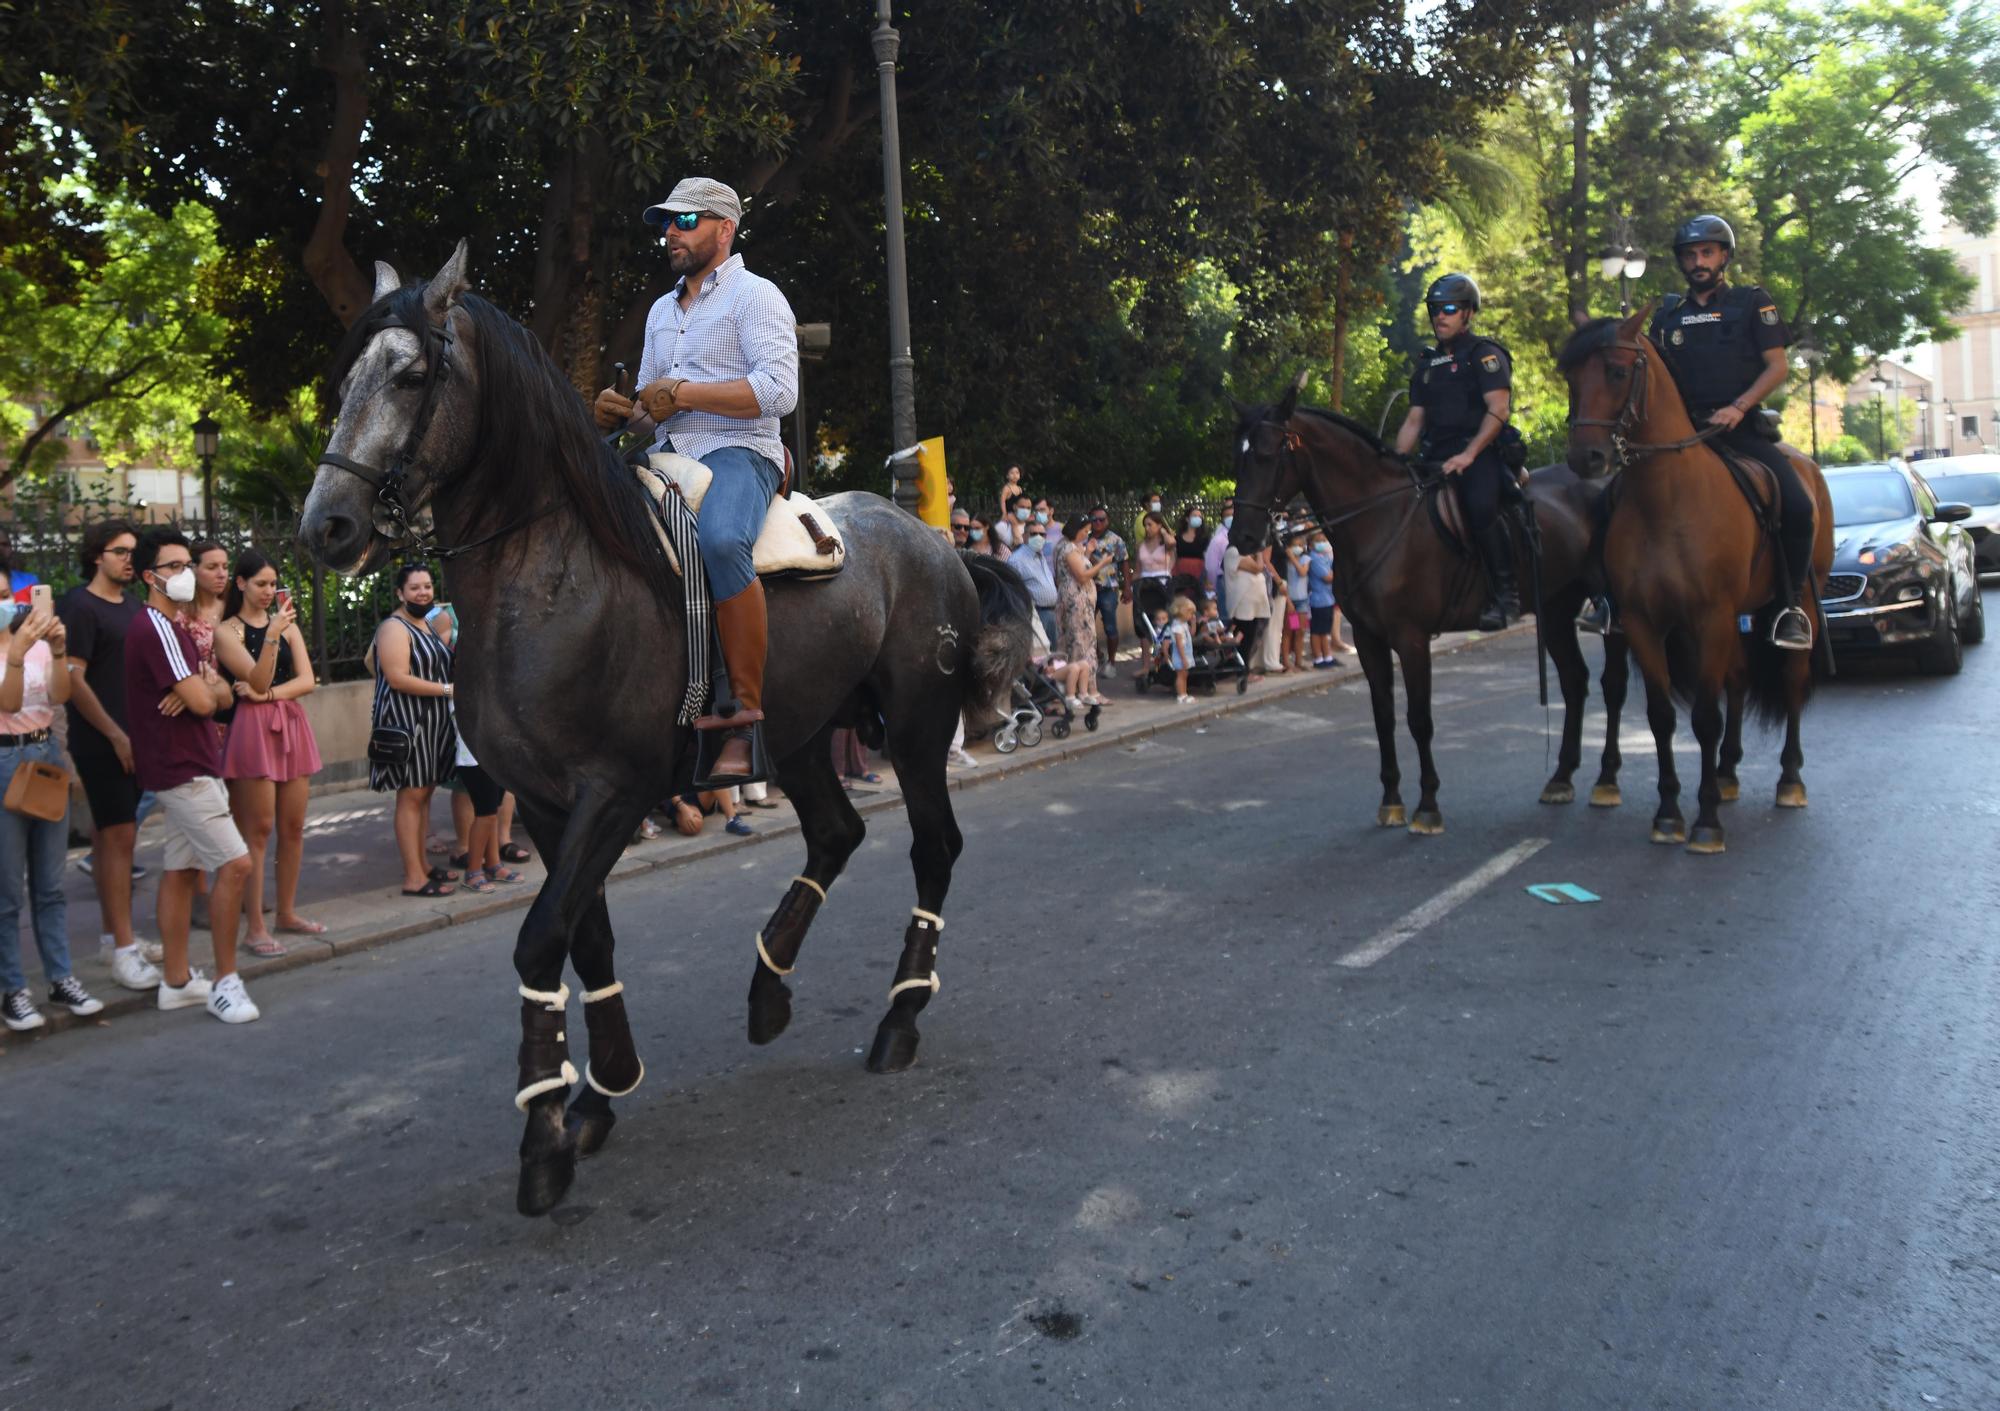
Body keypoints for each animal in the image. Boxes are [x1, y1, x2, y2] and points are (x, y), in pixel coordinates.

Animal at [304, 241, 1040, 1207]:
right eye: (344, 377)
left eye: (412, 374)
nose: (327, 524)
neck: (550, 576)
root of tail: (937, 541)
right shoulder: (544, 802)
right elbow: (586, 935)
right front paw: (600, 1090)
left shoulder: (614, 792)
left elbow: (541, 941)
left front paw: (545, 1131)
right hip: (802, 734)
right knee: (835, 834)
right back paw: (769, 991)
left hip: (917, 729)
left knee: (933, 847)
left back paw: (901, 1012)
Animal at [1552, 307, 1832, 851]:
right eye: (1570, 377)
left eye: (1617, 371)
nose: (1585, 458)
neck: (1666, 500)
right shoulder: (1644, 623)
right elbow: (1663, 717)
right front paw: (1668, 813)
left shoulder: (1710, 618)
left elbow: (1705, 717)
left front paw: (1705, 822)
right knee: (1740, 679)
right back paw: (1726, 774)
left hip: (1802, 600)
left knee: (1790, 679)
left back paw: (1789, 780)